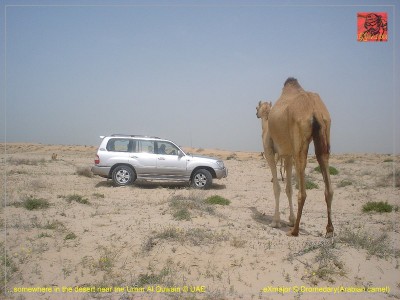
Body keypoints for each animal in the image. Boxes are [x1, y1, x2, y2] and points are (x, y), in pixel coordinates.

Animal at [258, 78, 332, 238]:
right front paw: (290, 219)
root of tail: (315, 110)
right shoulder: (287, 155)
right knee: (325, 167)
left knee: (302, 189)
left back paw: (295, 230)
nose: (256, 114)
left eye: (256, 107)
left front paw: (276, 221)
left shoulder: (269, 152)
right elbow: (288, 188)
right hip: (325, 130)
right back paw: (329, 229)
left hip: (299, 136)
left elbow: (277, 187)